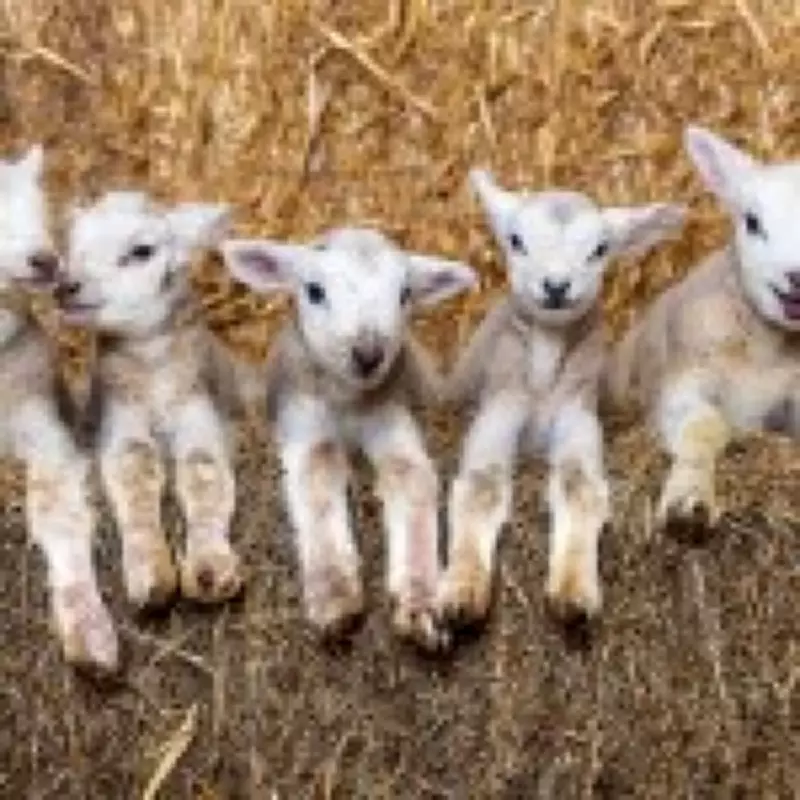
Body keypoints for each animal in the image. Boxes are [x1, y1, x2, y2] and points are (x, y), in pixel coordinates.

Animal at [56, 191, 244, 613]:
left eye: (142, 251)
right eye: (74, 249)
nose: (66, 286)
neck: (154, 372)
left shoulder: (198, 407)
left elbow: (203, 471)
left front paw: (209, 568)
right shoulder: (120, 417)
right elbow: (134, 467)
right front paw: (151, 572)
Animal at [221, 227, 477, 650]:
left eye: (405, 293)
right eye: (314, 290)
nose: (369, 355)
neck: (347, 402)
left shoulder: (391, 415)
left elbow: (409, 474)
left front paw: (419, 600)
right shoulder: (304, 421)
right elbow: (317, 469)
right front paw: (334, 595)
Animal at [440, 169, 685, 626]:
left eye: (600, 249)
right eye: (515, 240)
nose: (556, 286)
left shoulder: (578, 411)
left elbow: (579, 487)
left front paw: (573, 591)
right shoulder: (500, 404)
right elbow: (482, 487)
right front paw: (462, 590)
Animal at [609, 125, 799, 533]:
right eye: (752, 222)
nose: (796, 276)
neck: (766, 351)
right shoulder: (682, 382)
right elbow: (704, 426)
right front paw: (689, 501)